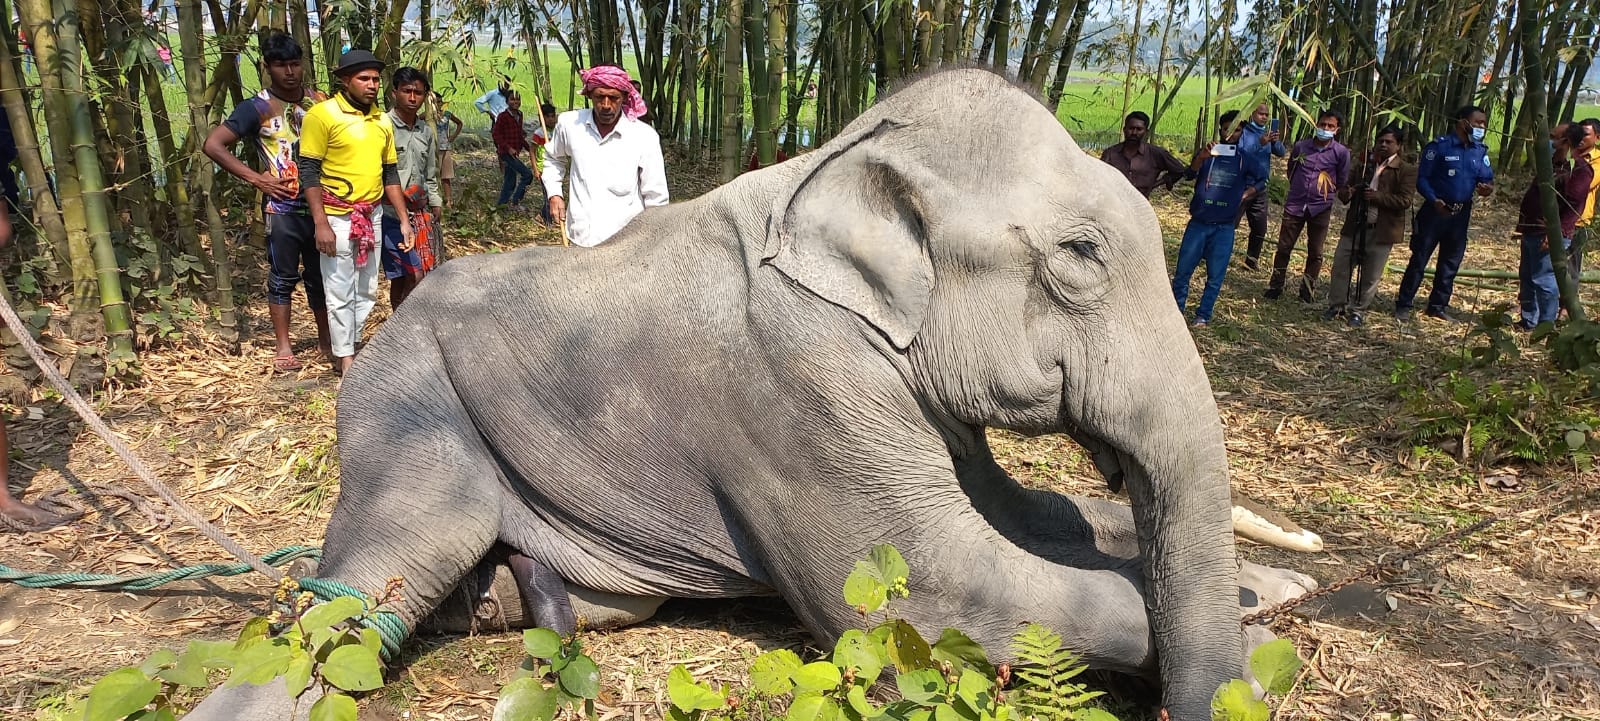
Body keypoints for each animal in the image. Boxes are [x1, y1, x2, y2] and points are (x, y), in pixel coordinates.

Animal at [187, 69, 1312, 721]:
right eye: (1080, 259)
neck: (842, 159)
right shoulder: (797, 384)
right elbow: (938, 590)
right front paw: (1260, 636)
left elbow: (1034, 516)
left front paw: (1274, 586)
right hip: (408, 409)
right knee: (362, 591)